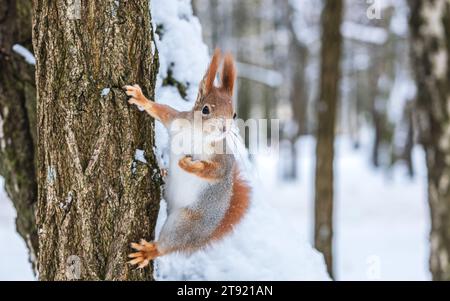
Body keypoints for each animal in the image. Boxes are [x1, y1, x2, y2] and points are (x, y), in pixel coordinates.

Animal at [124, 49, 250, 268]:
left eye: (234, 114)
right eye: (205, 109)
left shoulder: (223, 158)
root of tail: (203, 237)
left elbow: (215, 171)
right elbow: (161, 110)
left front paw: (187, 164)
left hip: (185, 225)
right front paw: (141, 99)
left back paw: (148, 252)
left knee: (167, 246)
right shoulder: (176, 121)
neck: (200, 134)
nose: (224, 128)